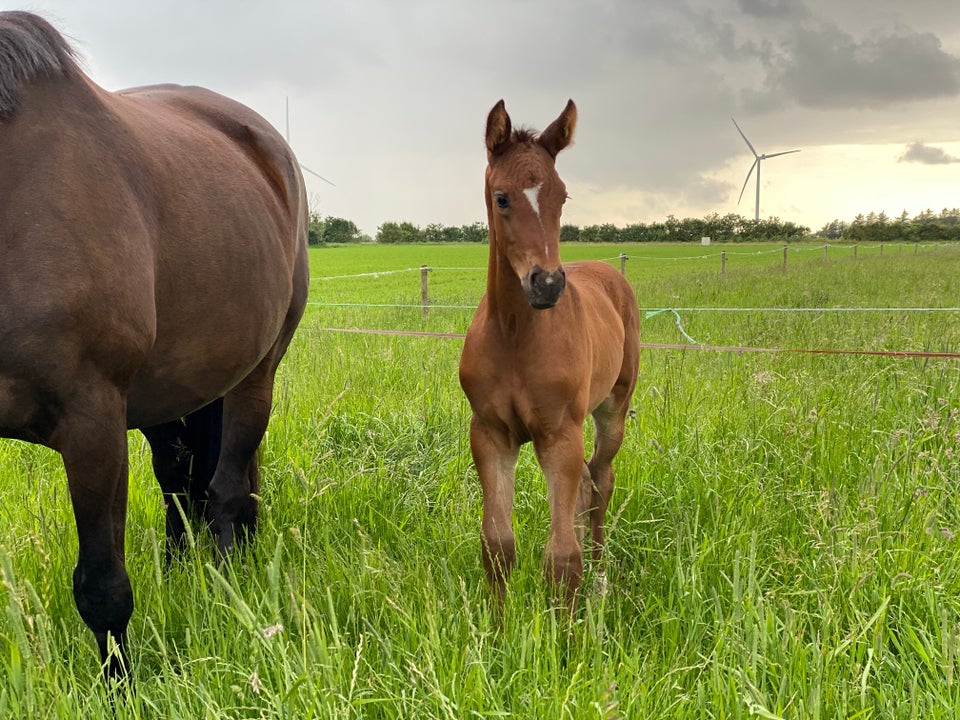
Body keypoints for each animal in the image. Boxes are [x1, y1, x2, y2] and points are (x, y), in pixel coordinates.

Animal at [0, 11, 310, 676]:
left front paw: (120, 685)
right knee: (180, 487)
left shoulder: (91, 423)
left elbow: (102, 585)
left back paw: (222, 589)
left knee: (225, 489)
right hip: (171, 393)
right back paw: (179, 575)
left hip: (255, 374)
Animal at [458, 98, 636, 612]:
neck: (515, 336)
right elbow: (497, 545)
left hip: (611, 410)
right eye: (502, 197)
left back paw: (601, 574)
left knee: (600, 481)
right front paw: (497, 628)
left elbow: (561, 558)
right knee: (584, 492)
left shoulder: (559, 435)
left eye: (562, 196)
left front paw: (566, 632)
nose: (548, 284)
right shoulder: (491, 435)